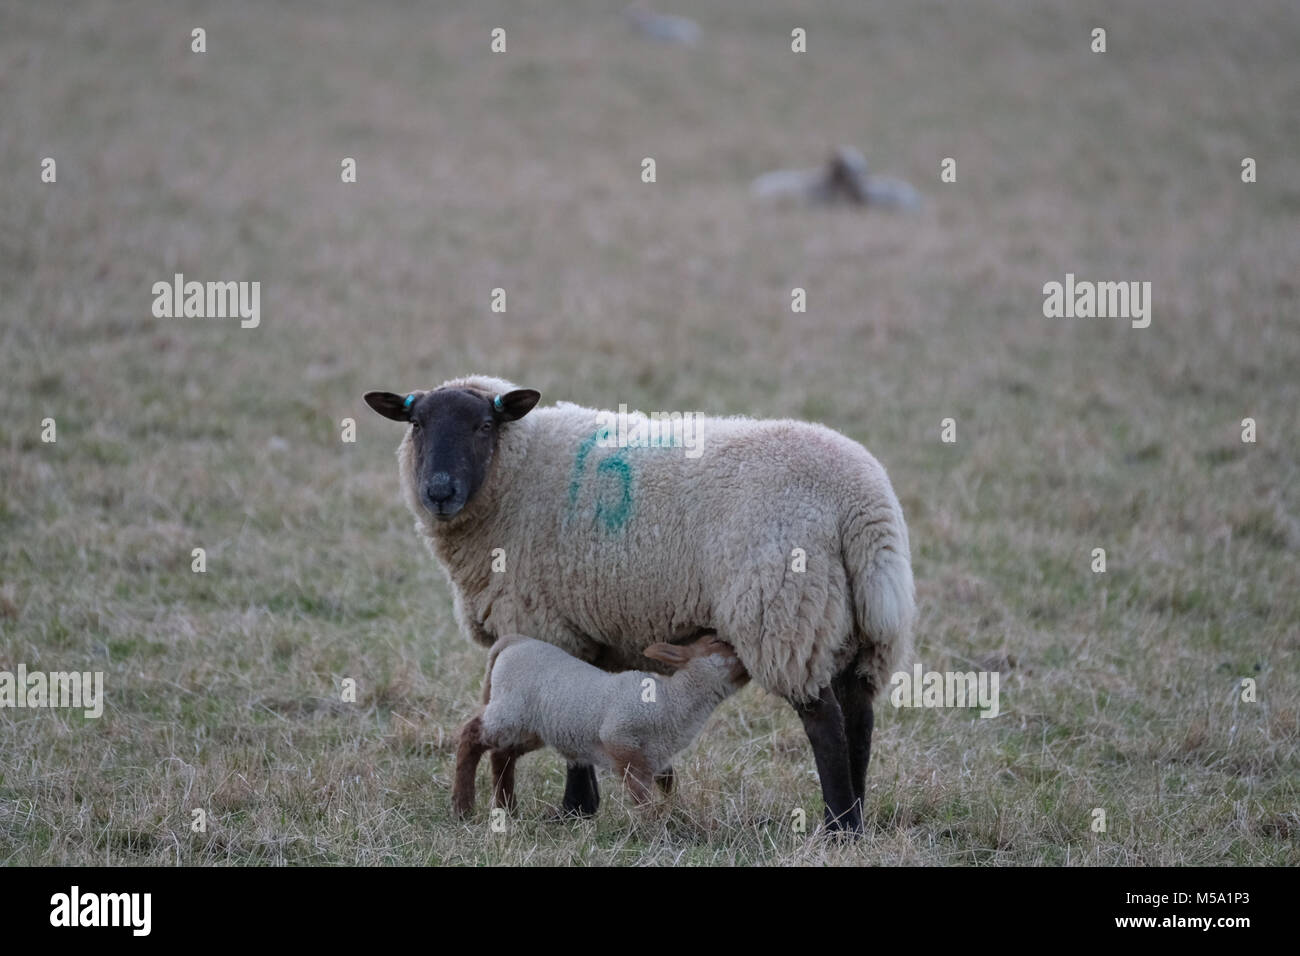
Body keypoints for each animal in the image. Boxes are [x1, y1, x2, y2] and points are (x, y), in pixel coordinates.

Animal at [452, 632, 748, 816]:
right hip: (509, 710)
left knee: (501, 754)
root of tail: (514, 641)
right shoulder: (619, 737)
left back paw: (507, 808)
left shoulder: (658, 755)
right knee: (470, 735)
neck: (672, 700)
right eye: (716, 641)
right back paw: (463, 807)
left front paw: (676, 812)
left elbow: (667, 784)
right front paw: (655, 827)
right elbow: (640, 791)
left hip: (529, 727)